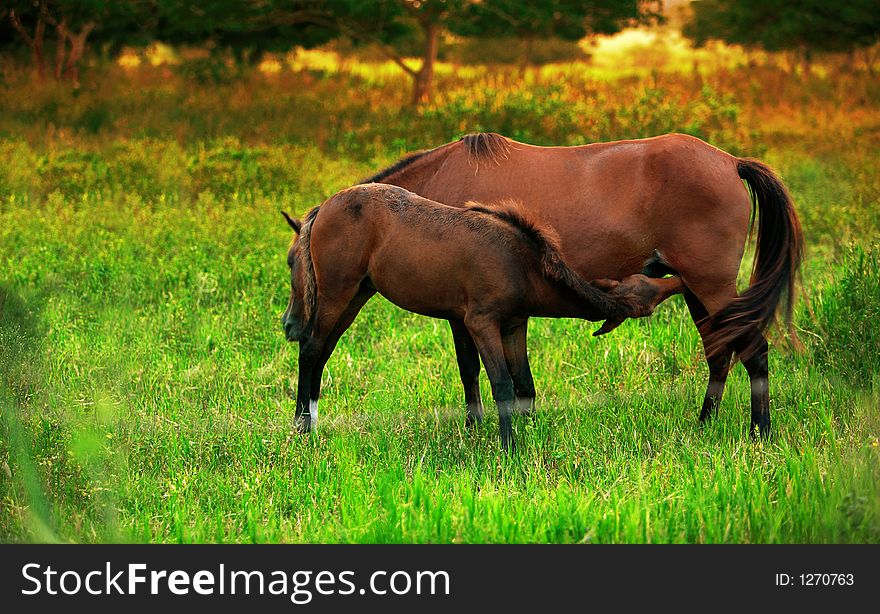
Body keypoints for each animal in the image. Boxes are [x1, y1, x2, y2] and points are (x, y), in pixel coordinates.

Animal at [282, 184, 652, 452]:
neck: (520, 262)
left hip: (357, 295)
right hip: (336, 293)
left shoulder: (513, 324)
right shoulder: (481, 323)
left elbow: (522, 381)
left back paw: (311, 420)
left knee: (323, 351)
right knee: (310, 349)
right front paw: (509, 447)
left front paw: (527, 431)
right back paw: (302, 427)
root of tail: (323, 208)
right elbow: (501, 384)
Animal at [364, 133, 804, 438]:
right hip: (697, 290)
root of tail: (730, 162)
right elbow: (518, 379)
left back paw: (759, 433)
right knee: (719, 354)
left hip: (710, 286)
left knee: (754, 352)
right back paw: (703, 424)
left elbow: (469, 371)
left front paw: (474, 432)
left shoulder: (464, 315)